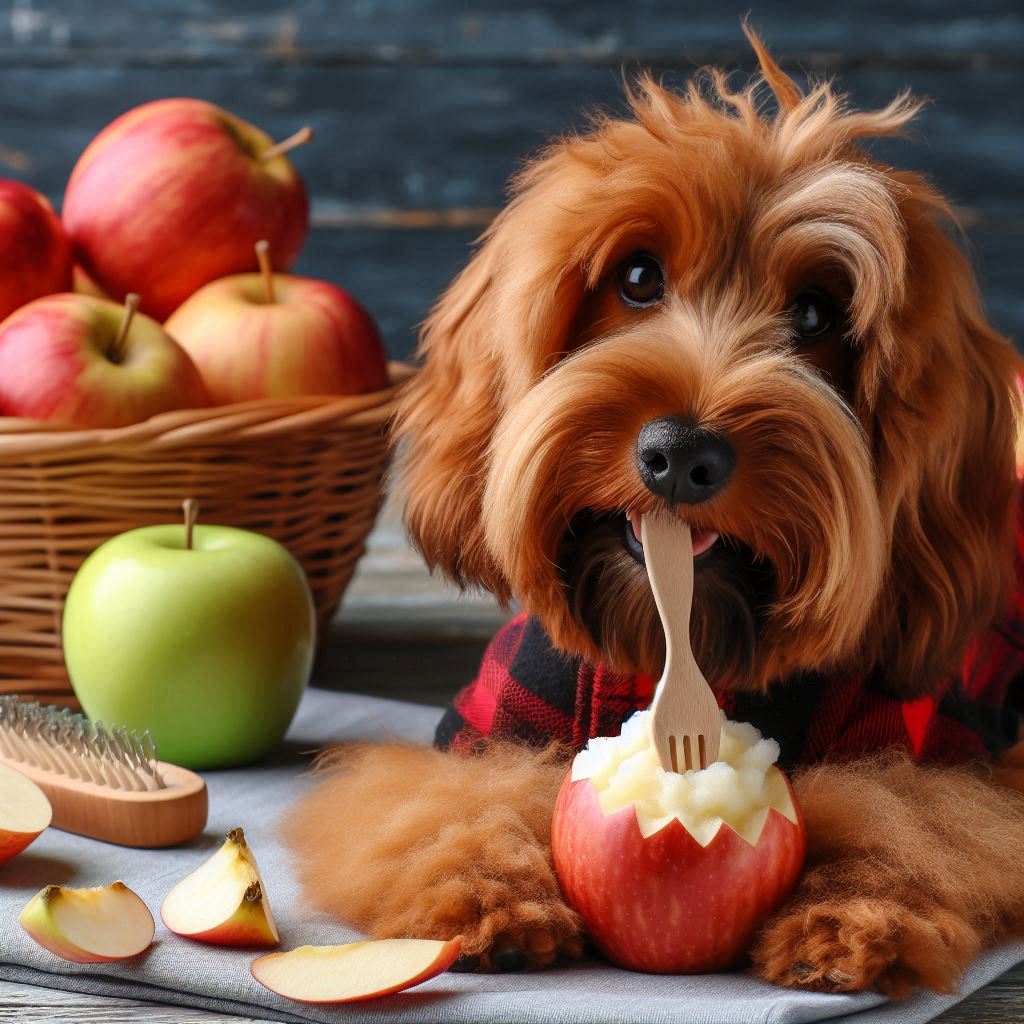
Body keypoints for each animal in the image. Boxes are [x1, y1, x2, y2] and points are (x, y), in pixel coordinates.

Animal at [284, 28, 1024, 995]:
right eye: (638, 276)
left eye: (816, 313)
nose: (681, 452)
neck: (671, 639)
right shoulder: (476, 741)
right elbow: (445, 808)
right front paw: (484, 890)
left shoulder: (946, 765)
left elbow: (912, 821)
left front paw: (852, 916)